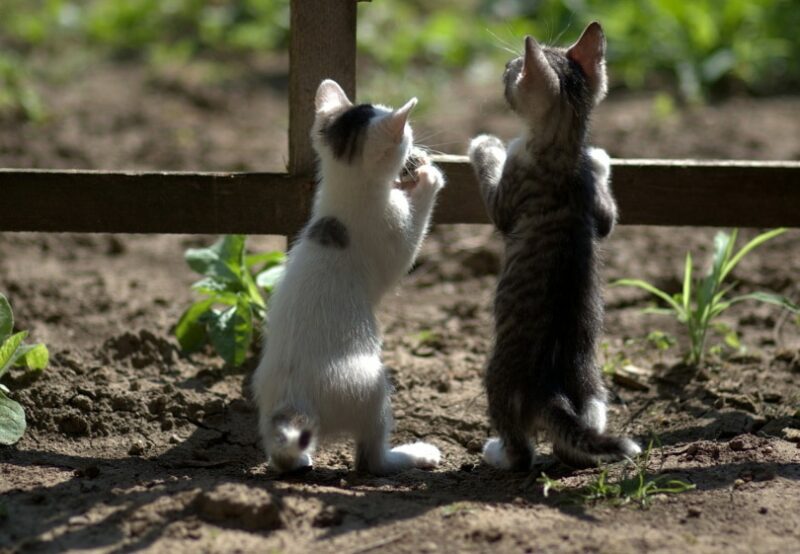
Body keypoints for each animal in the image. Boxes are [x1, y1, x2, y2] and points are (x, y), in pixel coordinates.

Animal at [253, 78, 446, 474]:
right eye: (408, 136)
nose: (417, 150)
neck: (344, 195)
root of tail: (293, 401)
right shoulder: (391, 235)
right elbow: (409, 245)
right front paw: (428, 177)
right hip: (370, 387)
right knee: (371, 459)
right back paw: (412, 455)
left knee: (282, 455)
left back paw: (297, 460)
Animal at [466, 23, 640, 468]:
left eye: (515, 69)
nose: (505, 66)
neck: (564, 152)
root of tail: (553, 390)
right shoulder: (599, 213)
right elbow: (608, 216)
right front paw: (601, 158)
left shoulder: (507, 197)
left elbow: (494, 180)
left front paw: (485, 144)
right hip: (594, 389)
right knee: (580, 432)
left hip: (496, 380)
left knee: (521, 451)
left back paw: (498, 453)